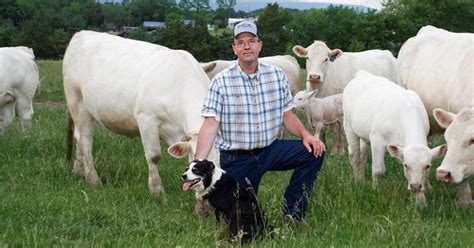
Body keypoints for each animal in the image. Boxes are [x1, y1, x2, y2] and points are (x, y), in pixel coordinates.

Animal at [63, 30, 218, 195]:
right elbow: (154, 156)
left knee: (79, 138)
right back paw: (93, 179)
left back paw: (79, 171)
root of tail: (82, 33)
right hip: (77, 102)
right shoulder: (146, 118)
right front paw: (156, 189)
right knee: (84, 139)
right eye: (196, 156)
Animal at [342, 70, 446, 205]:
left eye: (427, 166)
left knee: (362, 154)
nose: (415, 186)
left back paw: (361, 178)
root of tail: (362, 73)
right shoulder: (377, 139)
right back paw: (358, 182)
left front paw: (421, 200)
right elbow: (378, 170)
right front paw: (376, 190)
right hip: (348, 125)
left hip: (364, 134)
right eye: (406, 165)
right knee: (354, 155)